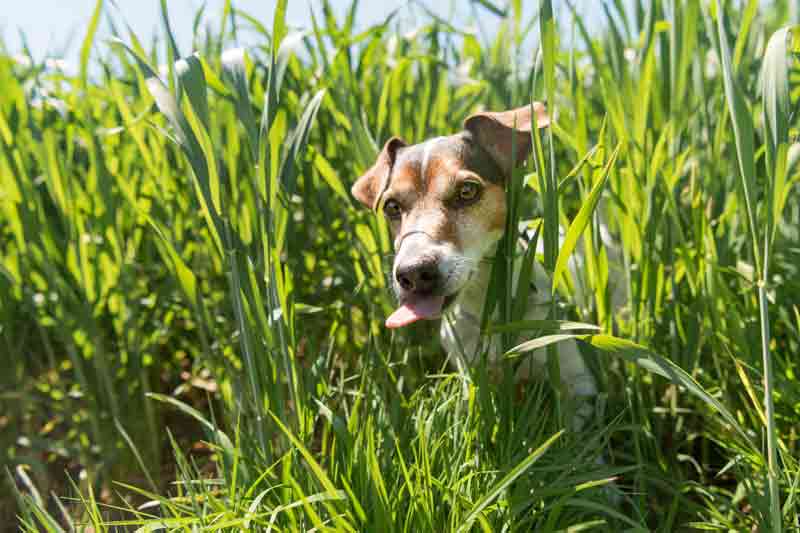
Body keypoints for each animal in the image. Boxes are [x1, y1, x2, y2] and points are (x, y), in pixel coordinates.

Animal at [354, 104, 596, 428]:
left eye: (467, 191)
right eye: (392, 207)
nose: (414, 273)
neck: (489, 309)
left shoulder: (579, 384)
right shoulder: (471, 372)